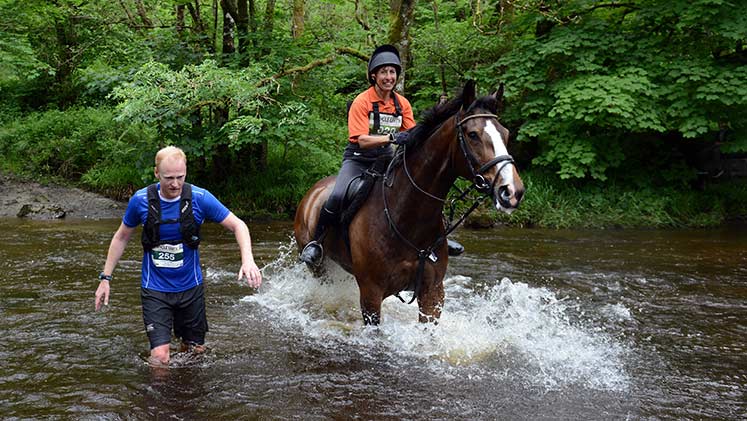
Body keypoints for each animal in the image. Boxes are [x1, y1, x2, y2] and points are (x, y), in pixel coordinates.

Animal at [294, 81, 524, 324]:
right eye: (472, 134)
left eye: (506, 134)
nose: (512, 191)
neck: (406, 216)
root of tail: (312, 191)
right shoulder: (371, 294)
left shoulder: (433, 292)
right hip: (320, 269)